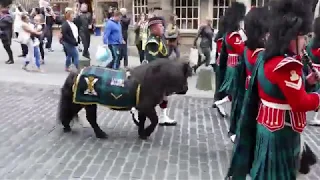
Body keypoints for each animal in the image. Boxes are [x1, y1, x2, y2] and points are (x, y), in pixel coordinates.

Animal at [57, 59, 192, 139]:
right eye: (185, 76)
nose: (186, 88)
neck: (160, 77)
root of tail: (76, 72)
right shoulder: (146, 106)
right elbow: (154, 120)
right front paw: (147, 133)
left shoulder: (142, 107)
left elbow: (142, 120)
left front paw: (142, 134)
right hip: (88, 101)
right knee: (90, 118)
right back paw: (101, 134)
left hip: (80, 101)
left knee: (69, 111)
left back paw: (67, 127)